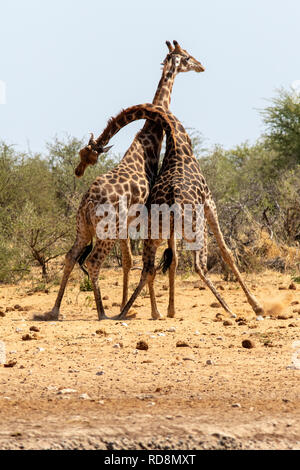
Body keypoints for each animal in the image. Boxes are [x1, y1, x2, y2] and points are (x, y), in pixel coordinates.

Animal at [34, 40, 205, 322]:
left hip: (83, 228)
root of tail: (88, 204)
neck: (149, 139)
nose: (202, 65)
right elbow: (148, 263)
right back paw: (102, 313)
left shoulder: (130, 223)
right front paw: (156, 311)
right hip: (107, 231)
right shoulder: (144, 218)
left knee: (70, 257)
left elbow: (128, 261)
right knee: (93, 262)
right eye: (188, 56)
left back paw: (54, 310)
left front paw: (130, 307)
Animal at [76, 103, 264, 322]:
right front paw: (256, 305)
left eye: (86, 154)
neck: (176, 138)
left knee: (148, 267)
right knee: (199, 265)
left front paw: (170, 310)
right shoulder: (210, 202)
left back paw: (124, 312)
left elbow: (171, 262)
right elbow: (227, 252)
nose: (78, 171)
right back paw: (230, 309)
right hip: (196, 228)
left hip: (153, 233)